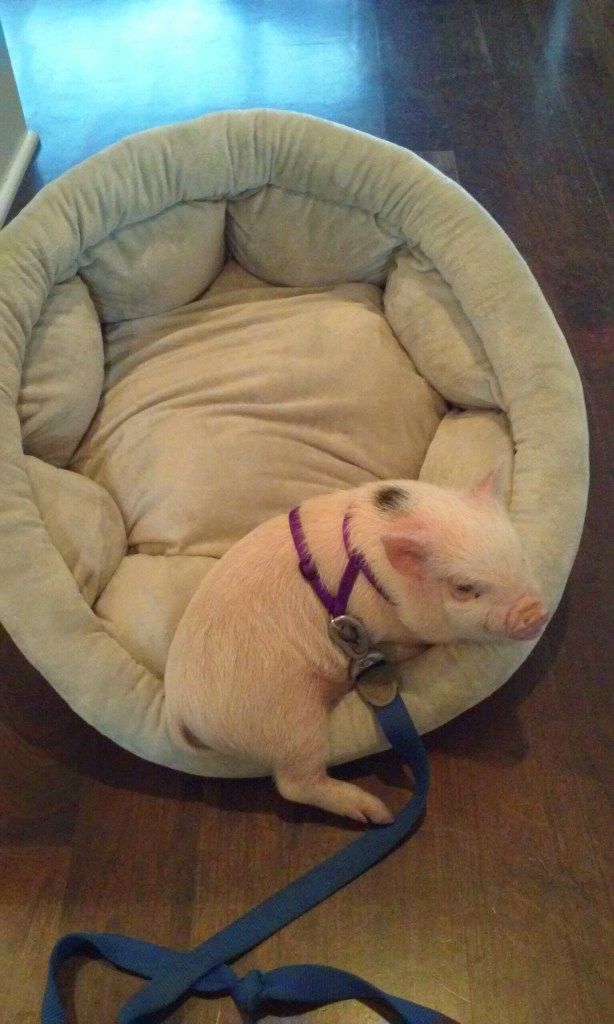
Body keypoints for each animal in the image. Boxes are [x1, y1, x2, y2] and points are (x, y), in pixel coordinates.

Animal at [162, 471, 548, 823]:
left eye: (520, 555)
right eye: (464, 589)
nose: (535, 613)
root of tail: (179, 708)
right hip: (286, 718)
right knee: (294, 783)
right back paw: (377, 814)